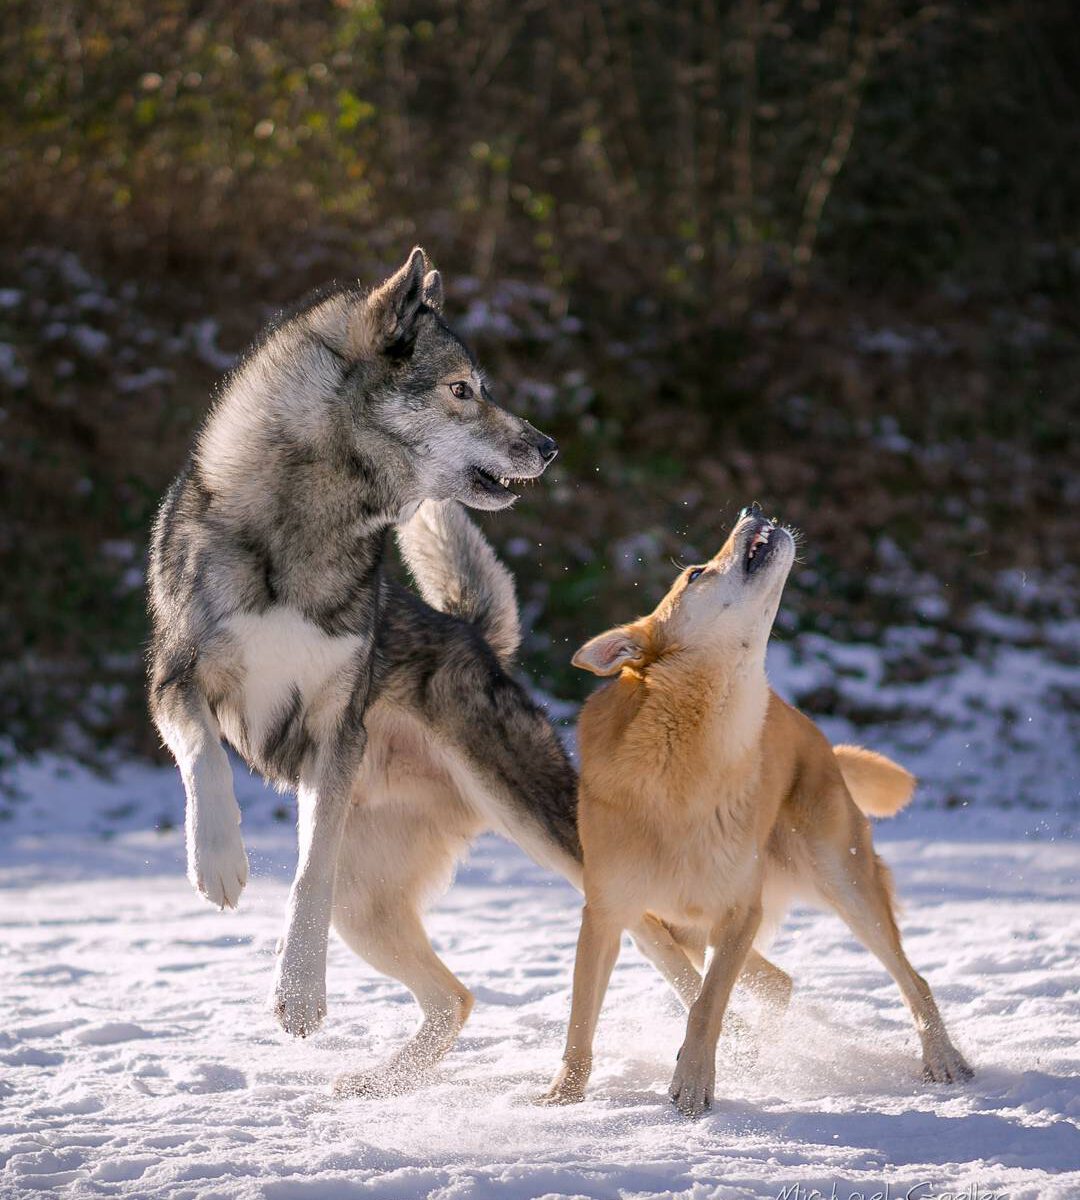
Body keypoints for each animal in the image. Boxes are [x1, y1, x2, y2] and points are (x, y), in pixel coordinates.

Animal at [544, 501, 974, 1108]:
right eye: (695, 574)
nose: (753, 510)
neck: (688, 763)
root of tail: (812, 732)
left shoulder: (738, 911)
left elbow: (707, 1006)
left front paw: (692, 1083)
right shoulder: (606, 914)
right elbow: (582, 1021)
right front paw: (564, 1096)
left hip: (842, 880)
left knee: (911, 978)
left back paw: (942, 1056)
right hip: (684, 923)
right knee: (771, 981)